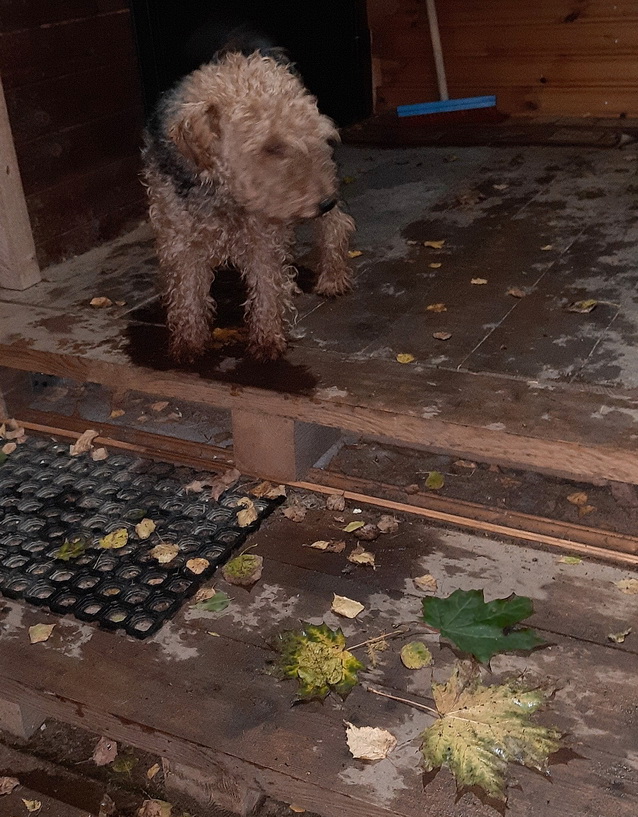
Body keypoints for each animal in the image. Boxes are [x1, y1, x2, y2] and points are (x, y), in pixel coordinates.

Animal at [141, 29, 355, 362]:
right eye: (272, 146)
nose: (323, 202)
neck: (220, 192)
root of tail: (260, 53)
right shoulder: (180, 241)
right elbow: (188, 293)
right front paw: (188, 343)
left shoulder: (262, 239)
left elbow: (266, 286)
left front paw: (267, 340)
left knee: (336, 225)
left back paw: (332, 278)